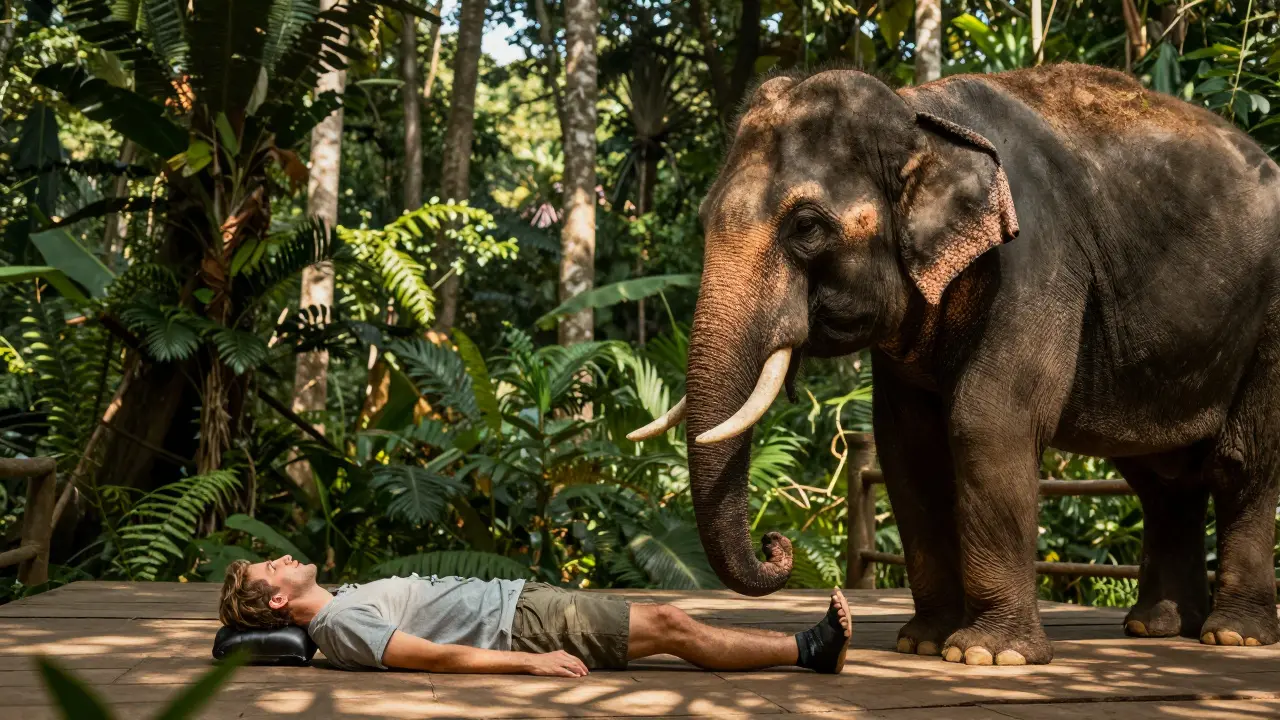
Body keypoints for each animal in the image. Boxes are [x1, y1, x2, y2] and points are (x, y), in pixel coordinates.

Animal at [627, 63, 1280, 666]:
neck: (921, 115)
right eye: (705, 219)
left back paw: (1233, 635)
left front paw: (988, 655)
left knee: (1241, 462)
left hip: (1270, 323)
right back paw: (1158, 627)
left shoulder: (1033, 260)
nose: (774, 545)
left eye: (806, 226)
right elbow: (907, 444)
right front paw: (921, 642)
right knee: (1159, 478)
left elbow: (986, 423)